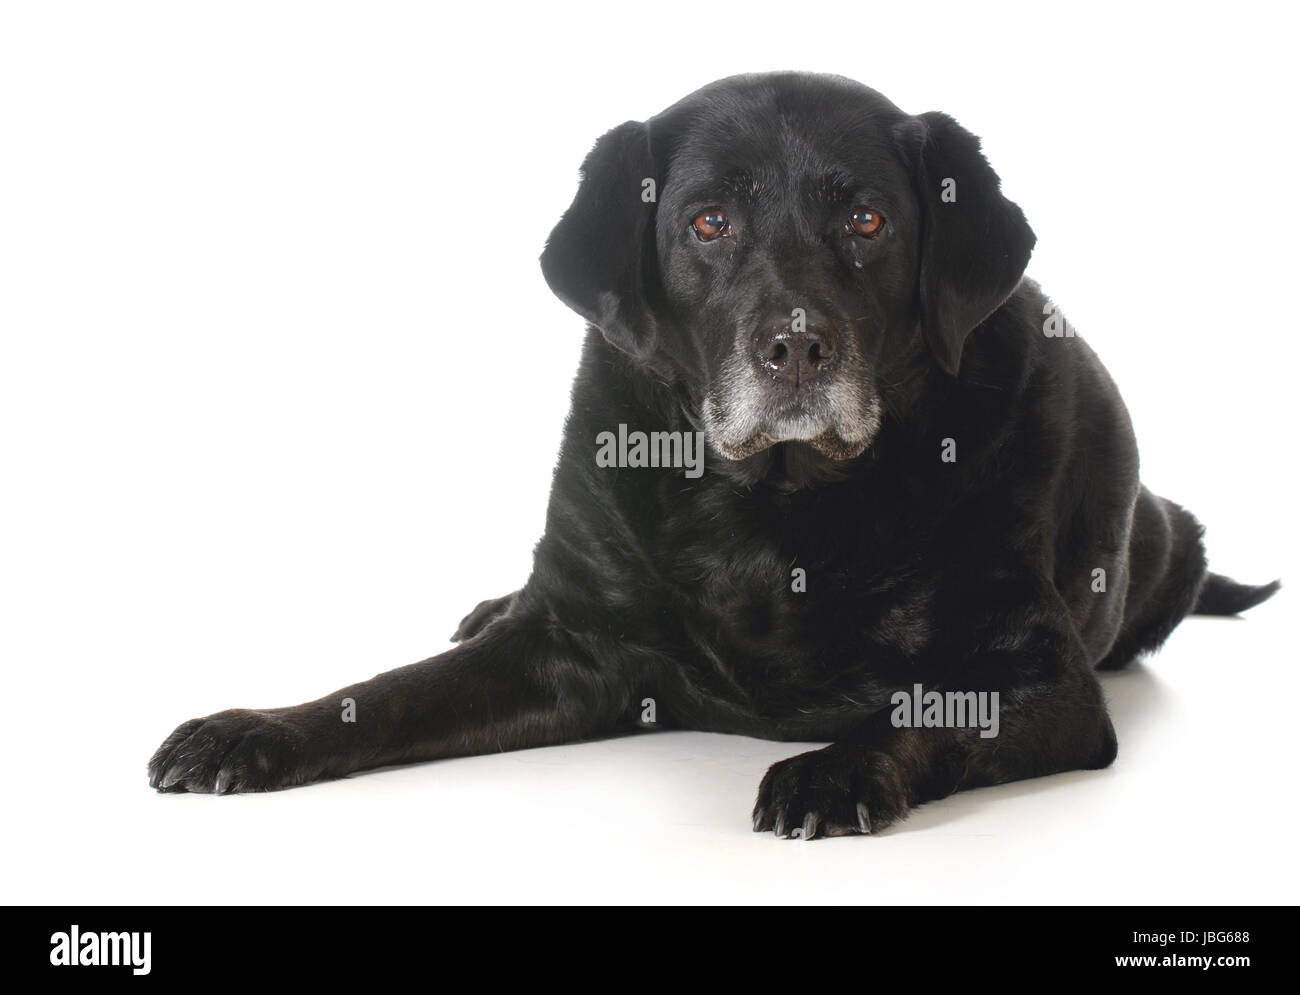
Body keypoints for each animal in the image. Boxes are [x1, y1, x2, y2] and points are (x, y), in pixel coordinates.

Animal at [147, 71, 1274, 832]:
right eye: (708, 221)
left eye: (868, 219)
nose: (797, 346)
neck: (771, 506)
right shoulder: (565, 644)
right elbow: (388, 692)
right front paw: (255, 727)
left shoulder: (1041, 677)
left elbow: (923, 707)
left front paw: (834, 766)